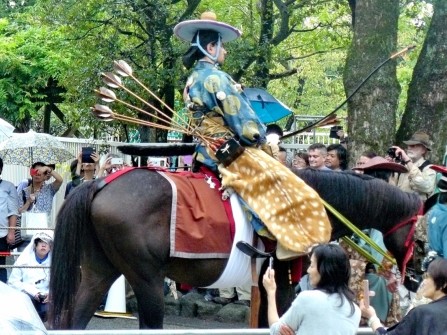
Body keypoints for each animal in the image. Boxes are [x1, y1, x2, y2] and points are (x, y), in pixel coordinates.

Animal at [50, 169, 424, 330]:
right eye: (419, 238)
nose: (417, 277)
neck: (310, 203)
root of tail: (101, 181)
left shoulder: (265, 283)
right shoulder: (284, 281)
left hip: (100, 271)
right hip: (146, 277)